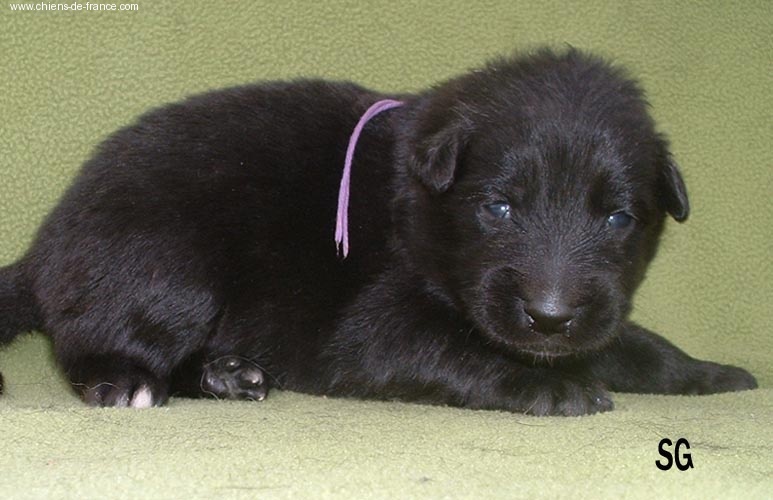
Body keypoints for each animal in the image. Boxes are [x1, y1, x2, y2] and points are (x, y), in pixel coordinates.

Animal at [0, 48, 757, 415]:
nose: (548, 316)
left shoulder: (594, 309)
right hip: (168, 265)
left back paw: (227, 376)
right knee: (92, 340)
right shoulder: (377, 326)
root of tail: (44, 246)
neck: (419, 213)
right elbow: (453, 352)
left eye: (618, 218)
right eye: (499, 209)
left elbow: (635, 343)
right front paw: (553, 389)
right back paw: (123, 382)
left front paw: (707, 372)